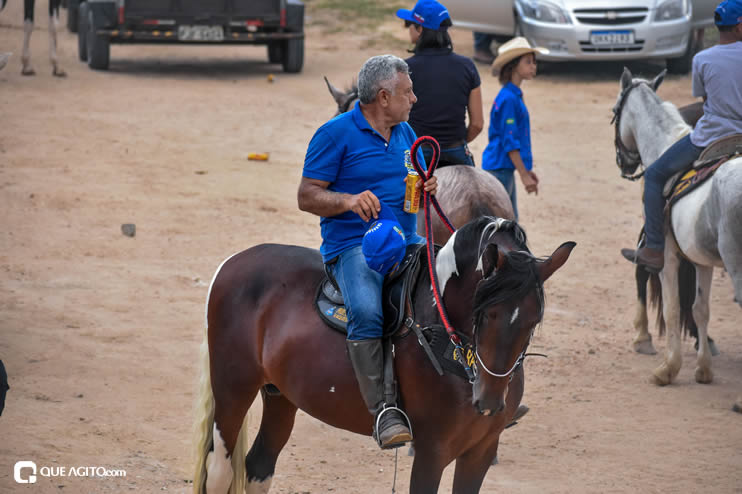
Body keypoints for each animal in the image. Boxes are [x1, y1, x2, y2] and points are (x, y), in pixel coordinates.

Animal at [193, 218, 576, 492]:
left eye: (534, 319)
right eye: (487, 313)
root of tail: (234, 262)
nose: (489, 401)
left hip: (280, 395)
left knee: (259, 466)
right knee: (219, 472)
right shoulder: (432, 451)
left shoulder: (481, 450)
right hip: (233, 390)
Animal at [612, 67, 742, 388]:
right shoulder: (700, 258)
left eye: (614, 111)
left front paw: (668, 368)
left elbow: (670, 306)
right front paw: (703, 369)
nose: (624, 162)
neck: (664, 142)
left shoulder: (667, 255)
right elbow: (700, 309)